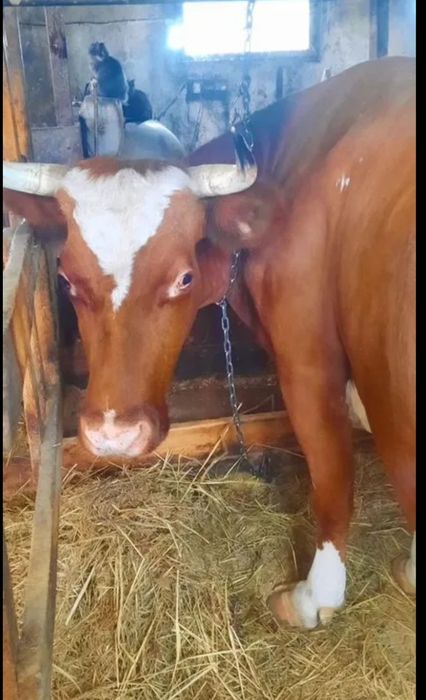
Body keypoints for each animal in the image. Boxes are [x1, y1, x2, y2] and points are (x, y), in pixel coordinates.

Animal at [3, 57, 415, 630]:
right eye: (65, 278)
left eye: (184, 277)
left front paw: (313, 598)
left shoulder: (308, 361)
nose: (114, 435)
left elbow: (332, 474)